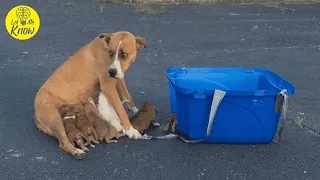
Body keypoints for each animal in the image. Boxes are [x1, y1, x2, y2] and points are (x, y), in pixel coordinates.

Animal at [33, 31, 146, 159]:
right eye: (110, 53)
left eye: (124, 55)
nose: (111, 72)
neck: (105, 45)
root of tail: (36, 113)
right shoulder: (108, 86)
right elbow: (121, 111)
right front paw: (131, 130)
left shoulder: (119, 79)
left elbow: (128, 97)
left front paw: (137, 112)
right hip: (55, 118)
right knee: (63, 141)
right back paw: (76, 151)